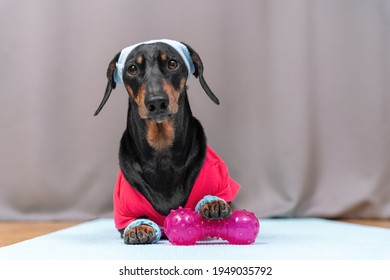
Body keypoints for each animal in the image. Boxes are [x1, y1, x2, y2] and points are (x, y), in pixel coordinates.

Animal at [96, 38, 239, 244]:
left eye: (172, 63)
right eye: (132, 69)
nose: (156, 102)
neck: (161, 150)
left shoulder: (221, 181)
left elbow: (218, 198)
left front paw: (212, 202)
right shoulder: (123, 208)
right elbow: (132, 220)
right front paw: (139, 227)